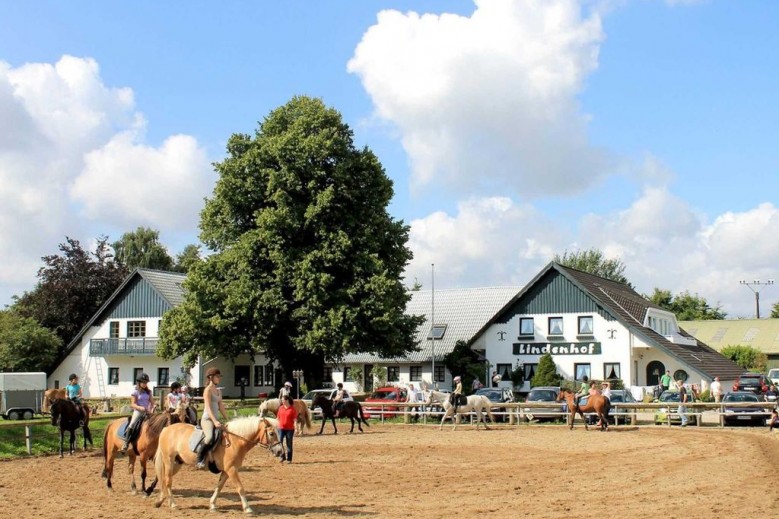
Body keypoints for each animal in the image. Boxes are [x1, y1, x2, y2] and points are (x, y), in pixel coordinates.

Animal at [150, 416, 284, 512]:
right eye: (271, 433)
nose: (280, 452)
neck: (235, 441)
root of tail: (167, 429)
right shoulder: (232, 469)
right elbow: (240, 488)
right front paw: (247, 508)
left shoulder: (226, 471)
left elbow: (219, 487)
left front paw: (212, 505)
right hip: (169, 460)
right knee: (167, 481)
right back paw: (173, 504)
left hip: (177, 463)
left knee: (164, 479)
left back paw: (161, 501)